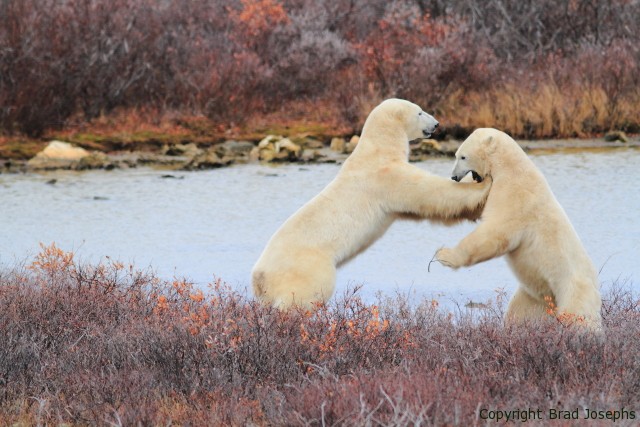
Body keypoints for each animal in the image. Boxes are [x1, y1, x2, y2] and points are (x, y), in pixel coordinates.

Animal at [252, 98, 492, 310]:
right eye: (420, 112)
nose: (436, 124)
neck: (376, 150)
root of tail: (258, 277)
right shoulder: (385, 176)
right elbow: (427, 191)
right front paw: (484, 184)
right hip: (307, 265)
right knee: (306, 294)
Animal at [432, 129, 604, 330]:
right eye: (456, 155)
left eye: (463, 156)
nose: (454, 177)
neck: (511, 168)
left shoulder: (515, 197)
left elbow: (495, 233)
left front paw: (443, 255)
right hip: (535, 295)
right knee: (520, 313)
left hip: (571, 287)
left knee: (578, 318)